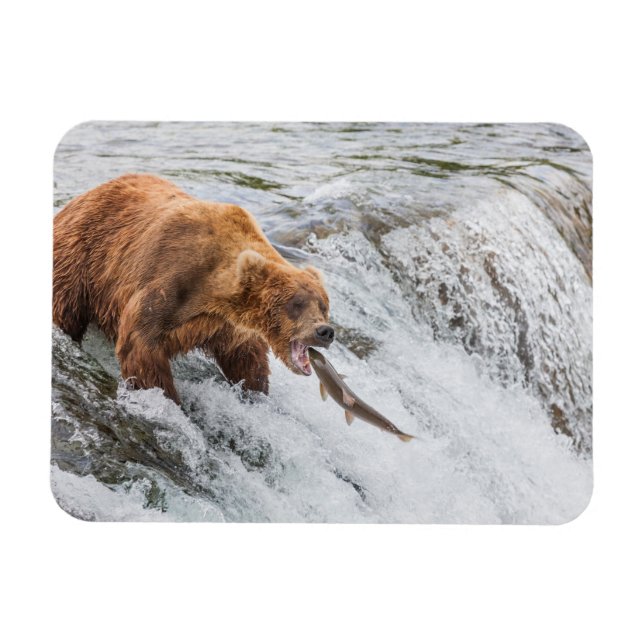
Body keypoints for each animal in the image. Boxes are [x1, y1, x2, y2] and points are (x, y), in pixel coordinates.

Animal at [53, 174, 334, 404]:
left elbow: (246, 358)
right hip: (81, 260)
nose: (325, 331)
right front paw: (169, 398)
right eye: (296, 304)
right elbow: (140, 346)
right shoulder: (169, 280)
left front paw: (256, 391)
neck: (213, 290)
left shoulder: (225, 325)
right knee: (65, 309)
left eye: (323, 306)